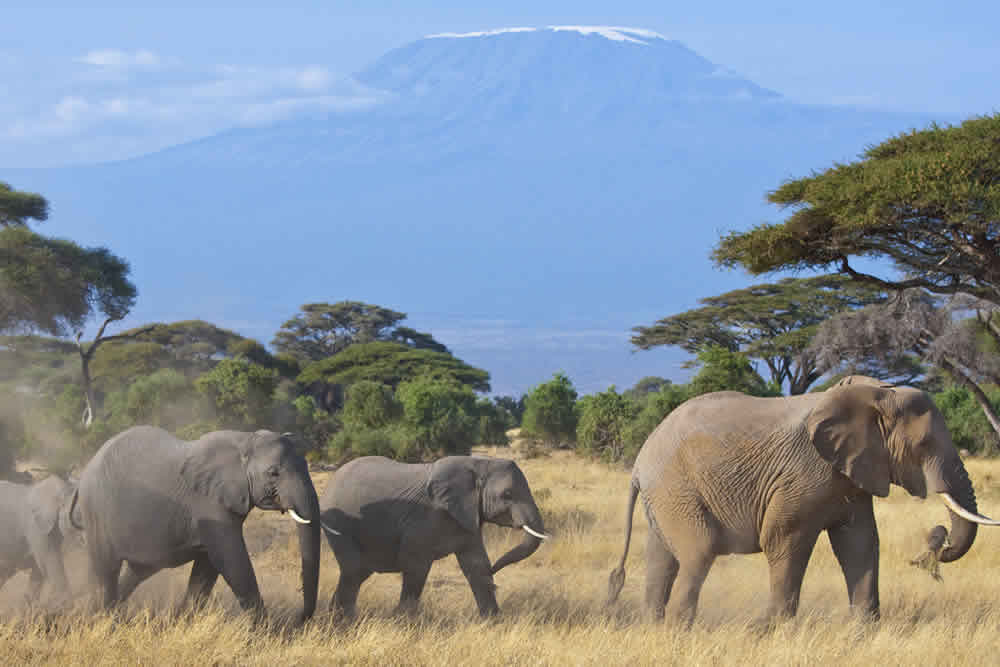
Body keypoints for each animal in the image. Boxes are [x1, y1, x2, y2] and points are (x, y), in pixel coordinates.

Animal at [71, 428, 320, 620]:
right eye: (273, 473)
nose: (299, 618)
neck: (245, 440)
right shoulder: (209, 502)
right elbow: (231, 559)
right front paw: (267, 634)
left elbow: (207, 568)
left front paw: (182, 623)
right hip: (96, 510)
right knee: (107, 570)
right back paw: (106, 618)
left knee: (137, 571)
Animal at [320, 456, 552, 620]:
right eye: (507, 495)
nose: (495, 569)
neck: (479, 463)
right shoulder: (425, 518)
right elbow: (416, 566)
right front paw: (402, 621)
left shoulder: (467, 515)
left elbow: (476, 565)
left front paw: (493, 622)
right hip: (338, 523)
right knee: (355, 570)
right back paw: (343, 620)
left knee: (358, 573)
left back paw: (336, 617)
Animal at [600, 376, 1000, 628]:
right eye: (924, 445)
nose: (938, 537)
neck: (875, 394)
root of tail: (639, 462)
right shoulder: (804, 473)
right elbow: (784, 541)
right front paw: (770, 630)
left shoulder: (851, 473)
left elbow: (860, 543)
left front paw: (864, 631)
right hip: (676, 488)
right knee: (699, 553)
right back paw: (680, 631)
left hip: (666, 496)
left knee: (662, 559)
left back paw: (655, 628)